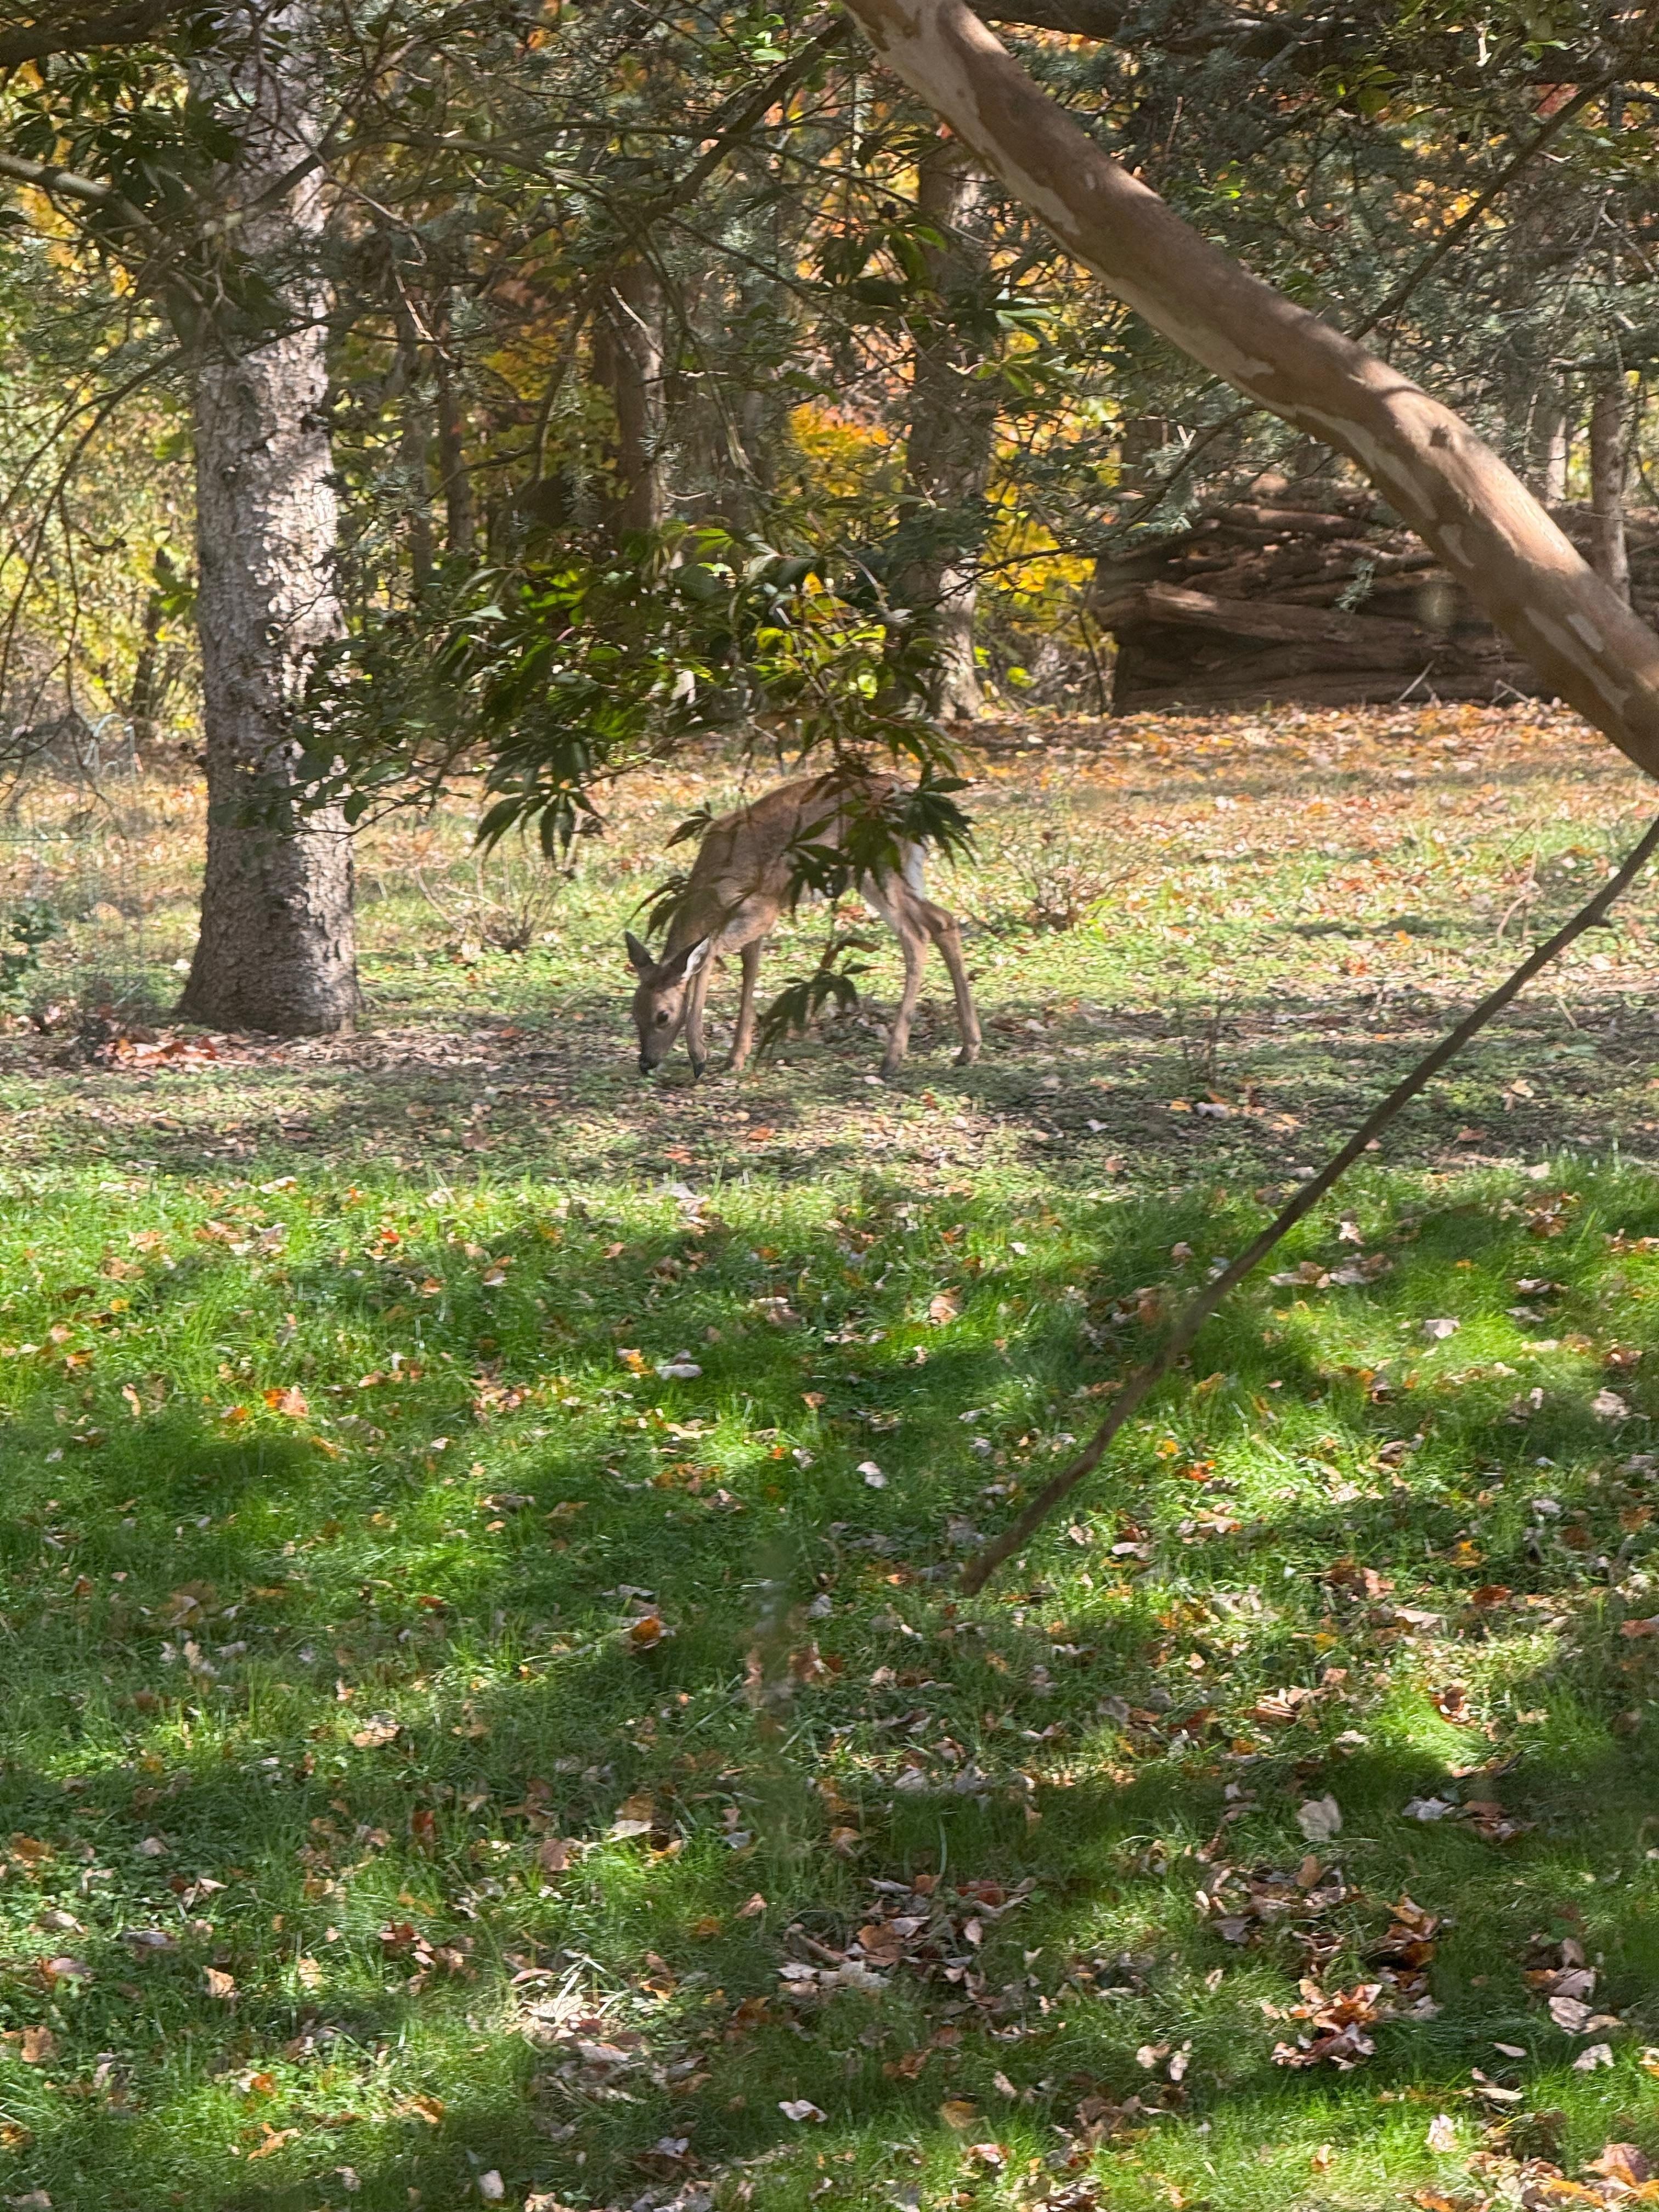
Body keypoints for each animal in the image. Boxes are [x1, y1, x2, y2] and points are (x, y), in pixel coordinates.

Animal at [624, 771, 982, 1081]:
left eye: (663, 1015)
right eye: (634, 1011)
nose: (646, 1062)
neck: (710, 891)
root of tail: (910, 797)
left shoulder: (763, 908)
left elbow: (709, 955)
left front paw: (700, 1057)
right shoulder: (755, 922)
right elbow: (749, 971)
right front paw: (736, 1057)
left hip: (875, 866)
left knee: (916, 936)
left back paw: (892, 1059)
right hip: (898, 871)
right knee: (943, 921)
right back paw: (968, 1048)